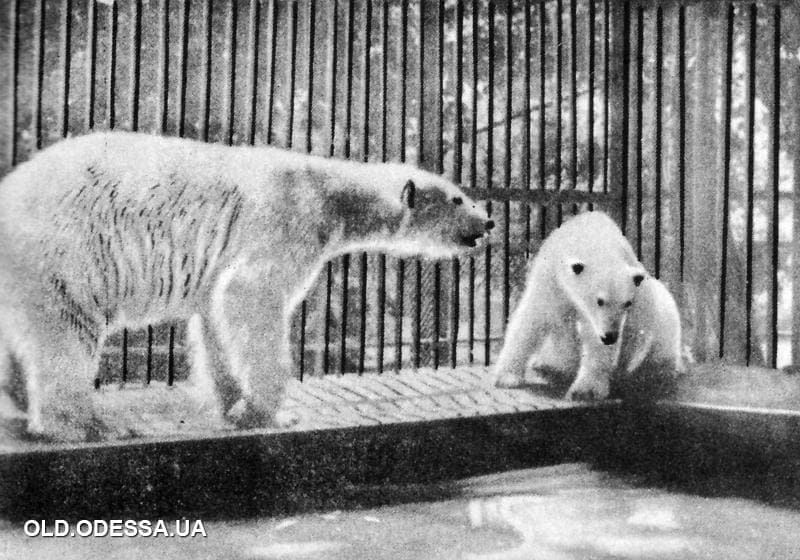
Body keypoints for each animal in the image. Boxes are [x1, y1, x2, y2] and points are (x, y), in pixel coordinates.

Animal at [0, 132, 494, 442]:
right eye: (457, 197)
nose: (488, 221)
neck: (331, 191)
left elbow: (215, 318)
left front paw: (236, 405)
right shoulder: (286, 219)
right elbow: (249, 297)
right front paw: (273, 412)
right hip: (65, 253)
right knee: (67, 333)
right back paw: (86, 424)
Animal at [494, 210, 680, 398]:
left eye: (627, 303)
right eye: (600, 300)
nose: (610, 336)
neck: (589, 237)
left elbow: (593, 339)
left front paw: (586, 390)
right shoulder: (550, 280)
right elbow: (531, 320)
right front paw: (506, 377)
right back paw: (545, 365)